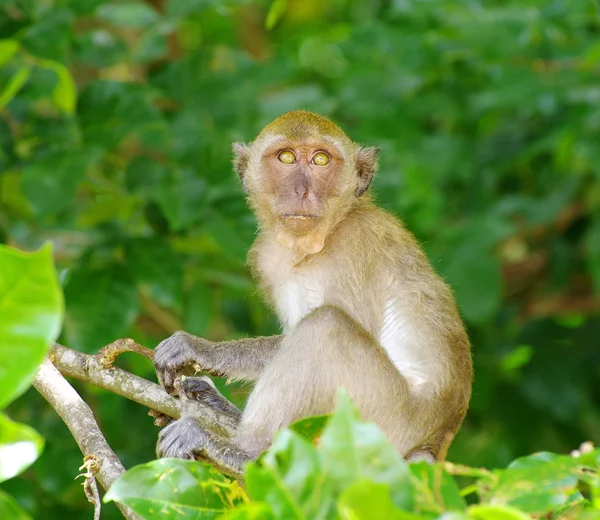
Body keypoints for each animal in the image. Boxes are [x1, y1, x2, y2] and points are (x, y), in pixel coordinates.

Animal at [154, 110, 474, 480]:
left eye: (321, 160)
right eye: (286, 157)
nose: (301, 191)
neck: (318, 243)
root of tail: (431, 446)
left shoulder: (358, 242)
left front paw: (200, 349)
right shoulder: (267, 257)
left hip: (382, 419)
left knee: (326, 326)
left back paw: (244, 452)